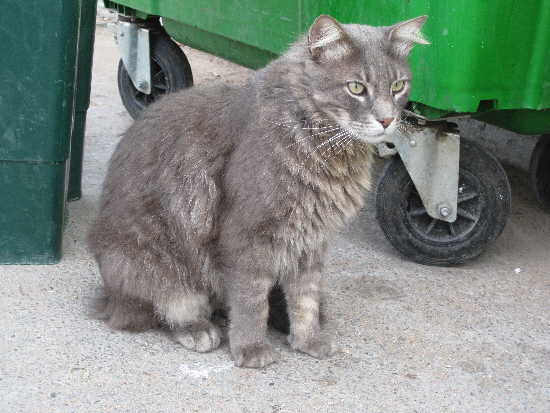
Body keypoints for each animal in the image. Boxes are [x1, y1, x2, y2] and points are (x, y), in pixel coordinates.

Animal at [88, 14, 430, 366]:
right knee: (162, 308)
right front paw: (251, 348)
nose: (387, 120)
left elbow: (305, 298)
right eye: (357, 87)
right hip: (152, 262)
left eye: (398, 86)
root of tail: (108, 295)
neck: (323, 145)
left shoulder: (311, 240)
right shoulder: (247, 237)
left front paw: (308, 340)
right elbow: (250, 302)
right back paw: (198, 329)